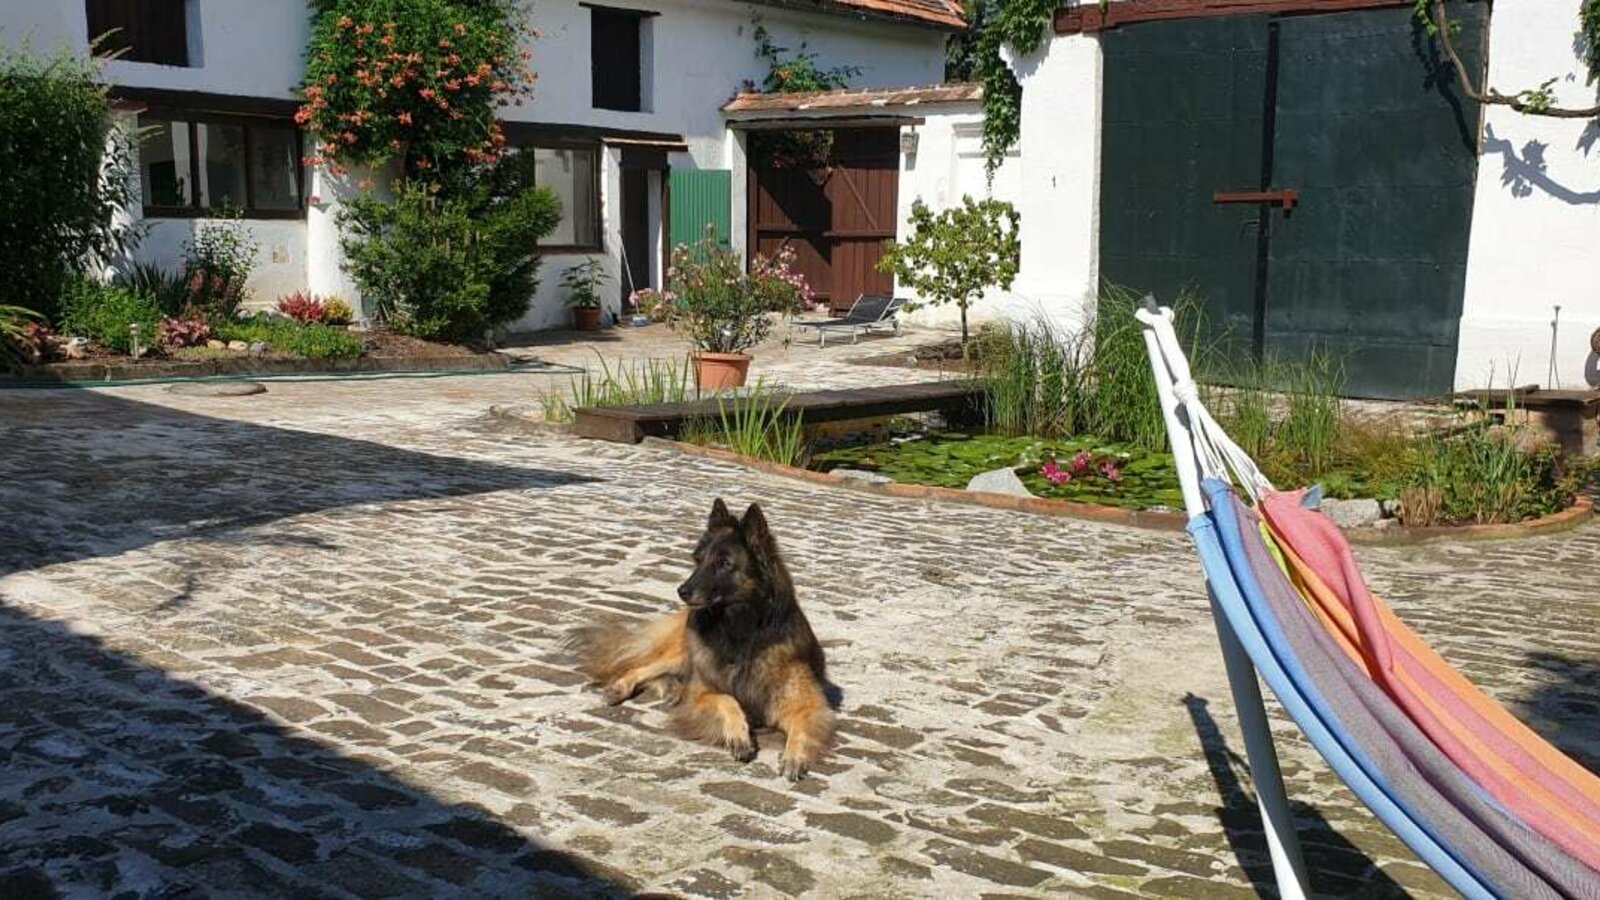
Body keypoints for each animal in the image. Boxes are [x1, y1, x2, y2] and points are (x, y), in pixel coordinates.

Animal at [569, 496, 832, 778]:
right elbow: (728, 700)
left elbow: (801, 726)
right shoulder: (702, 693)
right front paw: (739, 736)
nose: (682, 591)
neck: (741, 630)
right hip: (682, 651)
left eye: (724, 563)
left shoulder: (808, 703)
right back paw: (626, 687)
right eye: (698, 559)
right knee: (638, 666)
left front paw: (794, 756)